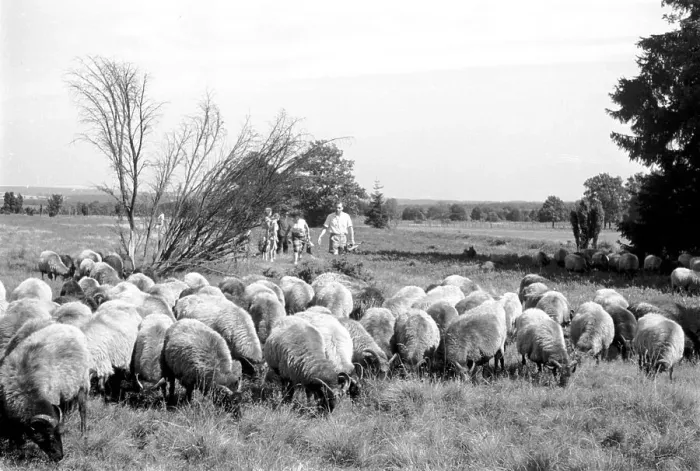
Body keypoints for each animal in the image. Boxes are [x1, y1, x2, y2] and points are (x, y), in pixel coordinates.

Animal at [0, 323, 90, 461]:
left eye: (59, 433)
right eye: (49, 435)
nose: (60, 457)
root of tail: (68, 326)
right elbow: (14, 432)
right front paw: (15, 449)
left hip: (83, 383)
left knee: (83, 410)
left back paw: (83, 434)